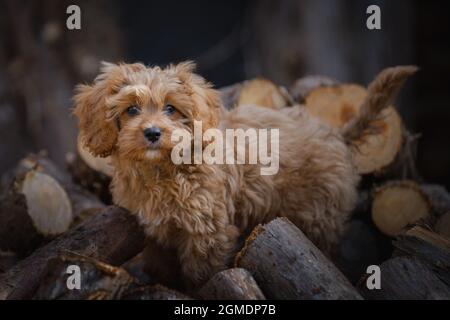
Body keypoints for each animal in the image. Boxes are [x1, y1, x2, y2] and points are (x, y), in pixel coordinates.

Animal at [73, 61, 414, 286]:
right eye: (131, 109)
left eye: (171, 109)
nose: (153, 133)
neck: (161, 170)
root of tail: (335, 133)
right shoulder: (155, 233)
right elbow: (161, 266)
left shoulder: (207, 230)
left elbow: (200, 273)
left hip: (319, 216)